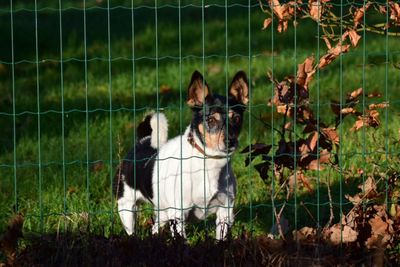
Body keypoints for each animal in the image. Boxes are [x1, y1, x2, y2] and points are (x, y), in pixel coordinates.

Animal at [114, 70, 248, 240]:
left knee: (155, 228)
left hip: (164, 213)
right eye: (211, 120)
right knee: (132, 230)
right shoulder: (179, 216)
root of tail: (142, 142)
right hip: (127, 209)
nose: (230, 141)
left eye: (236, 118)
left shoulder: (225, 213)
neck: (210, 164)